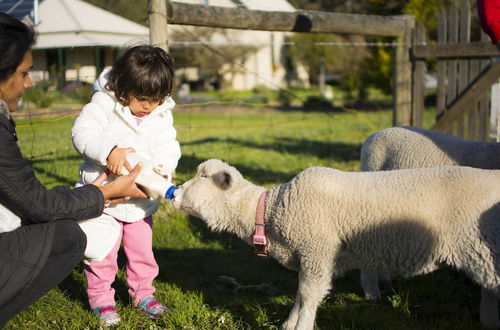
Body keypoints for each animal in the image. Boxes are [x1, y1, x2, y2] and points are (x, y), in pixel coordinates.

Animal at [172, 159, 500, 328]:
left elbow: (308, 295)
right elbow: (300, 294)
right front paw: (289, 324)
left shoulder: (317, 251)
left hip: (483, 246)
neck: (271, 211)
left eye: (203, 176)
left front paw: (301, 326)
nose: (175, 193)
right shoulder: (309, 257)